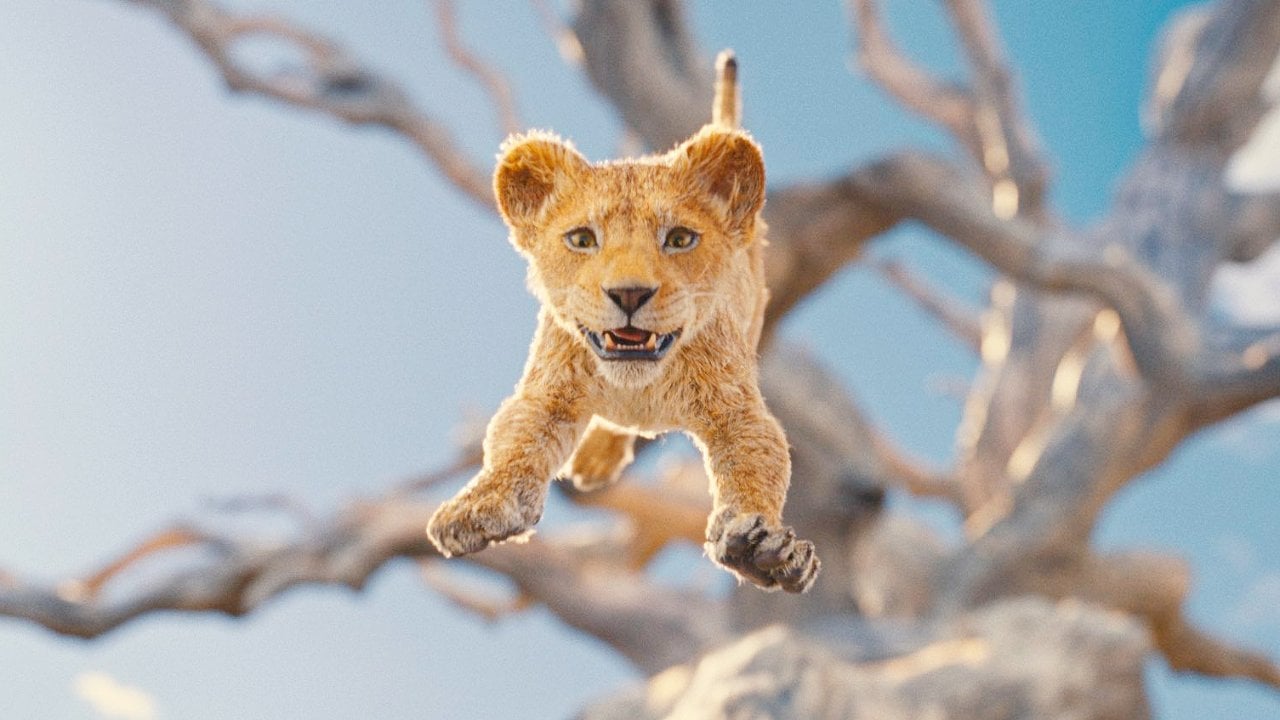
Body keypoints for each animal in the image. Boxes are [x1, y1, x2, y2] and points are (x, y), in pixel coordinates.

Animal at [426, 52, 819, 593]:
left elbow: (757, 465)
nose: (629, 293)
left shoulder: (737, 410)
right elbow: (513, 444)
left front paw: (761, 548)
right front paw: (478, 506)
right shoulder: (546, 393)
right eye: (581, 239)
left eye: (679, 239)